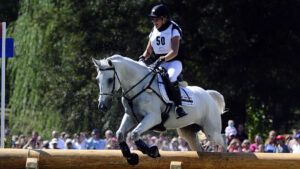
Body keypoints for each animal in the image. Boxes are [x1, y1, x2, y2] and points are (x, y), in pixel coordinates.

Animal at [92, 54, 226, 165]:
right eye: (97, 79)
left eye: (110, 80)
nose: (102, 106)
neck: (139, 86)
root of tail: (208, 95)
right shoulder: (130, 117)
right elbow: (120, 134)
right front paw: (131, 157)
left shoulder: (153, 117)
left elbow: (134, 134)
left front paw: (152, 151)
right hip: (188, 132)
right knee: (199, 148)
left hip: (211, 131)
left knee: (223, 142)